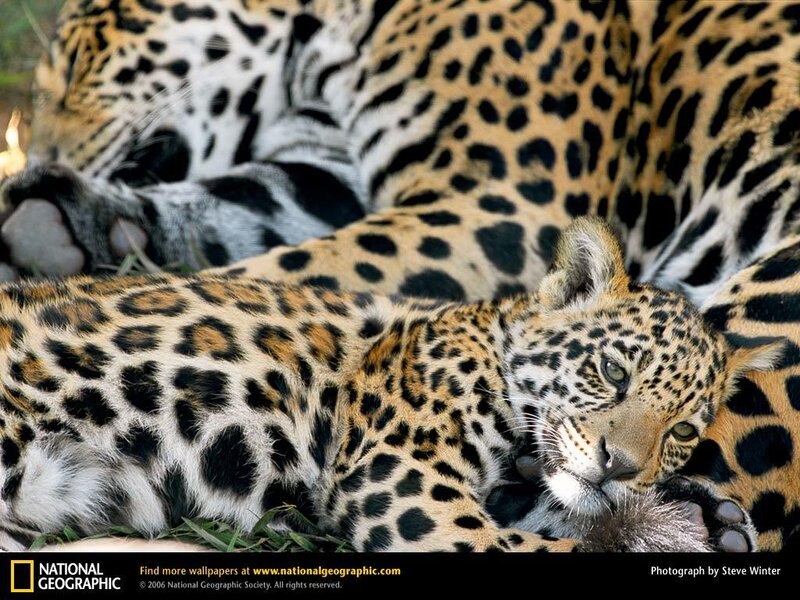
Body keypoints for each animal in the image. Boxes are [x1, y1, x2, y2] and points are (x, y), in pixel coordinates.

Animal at [0, 219, 777, 552]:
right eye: (613, 371)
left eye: (682, 430)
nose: (620, 467)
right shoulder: (402, 479)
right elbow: (522, 549)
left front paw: (697, 519)